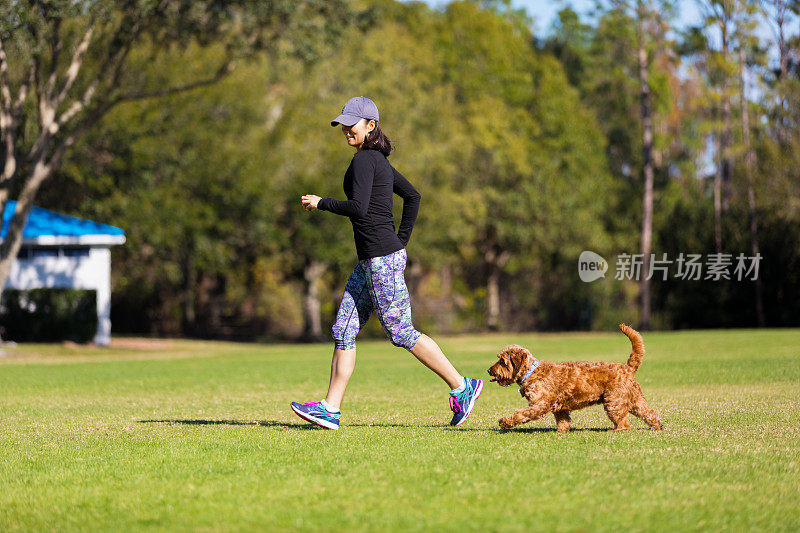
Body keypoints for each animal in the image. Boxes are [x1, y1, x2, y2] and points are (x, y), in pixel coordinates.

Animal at [488, 324, 664, 432]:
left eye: (502, 361)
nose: (489, 370)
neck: (531, 372)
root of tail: (627, 367)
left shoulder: (540, 404)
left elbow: (521, 414)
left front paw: (505, 422)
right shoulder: (560, 408)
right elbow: (563, 422)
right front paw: (560, 432)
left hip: (614, 402)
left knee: (624, 423)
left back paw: (616, 431)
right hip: (634, 400)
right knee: (649, 412)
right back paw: (657, 427)